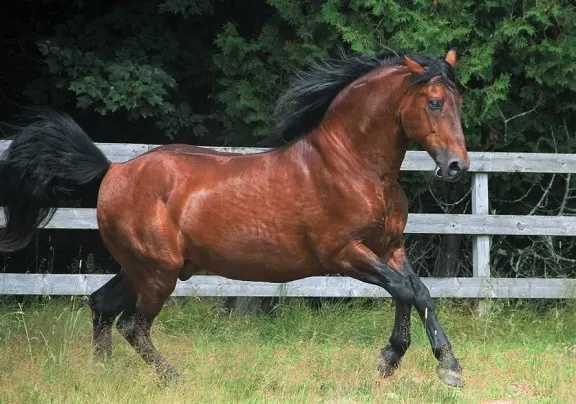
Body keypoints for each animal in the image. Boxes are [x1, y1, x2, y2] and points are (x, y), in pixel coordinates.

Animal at [0, 49, 468, 386]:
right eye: (434, 102)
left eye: (458, 102)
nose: (457, 166)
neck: (353, 165)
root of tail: (112, 171)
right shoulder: (343, 254)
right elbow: (405, 291)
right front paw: (422, 365)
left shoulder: (389, 248)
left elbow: (417, 291)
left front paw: (423, 361)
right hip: (158, 272)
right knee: (133, 326)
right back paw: (173, 379)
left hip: (141, 268)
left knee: (101, 305)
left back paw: (102, 374)